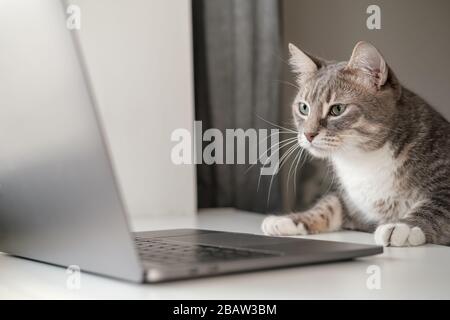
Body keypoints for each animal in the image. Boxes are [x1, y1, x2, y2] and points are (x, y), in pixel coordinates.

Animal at [262, 41, 450, 246]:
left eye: (337, 109)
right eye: (304, 108)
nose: (308, 134)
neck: (363, 160)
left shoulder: (444, 183)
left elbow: (435, 206)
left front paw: (403, 227)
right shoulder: (351, 202)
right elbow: (330, 204)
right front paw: (288, 219)